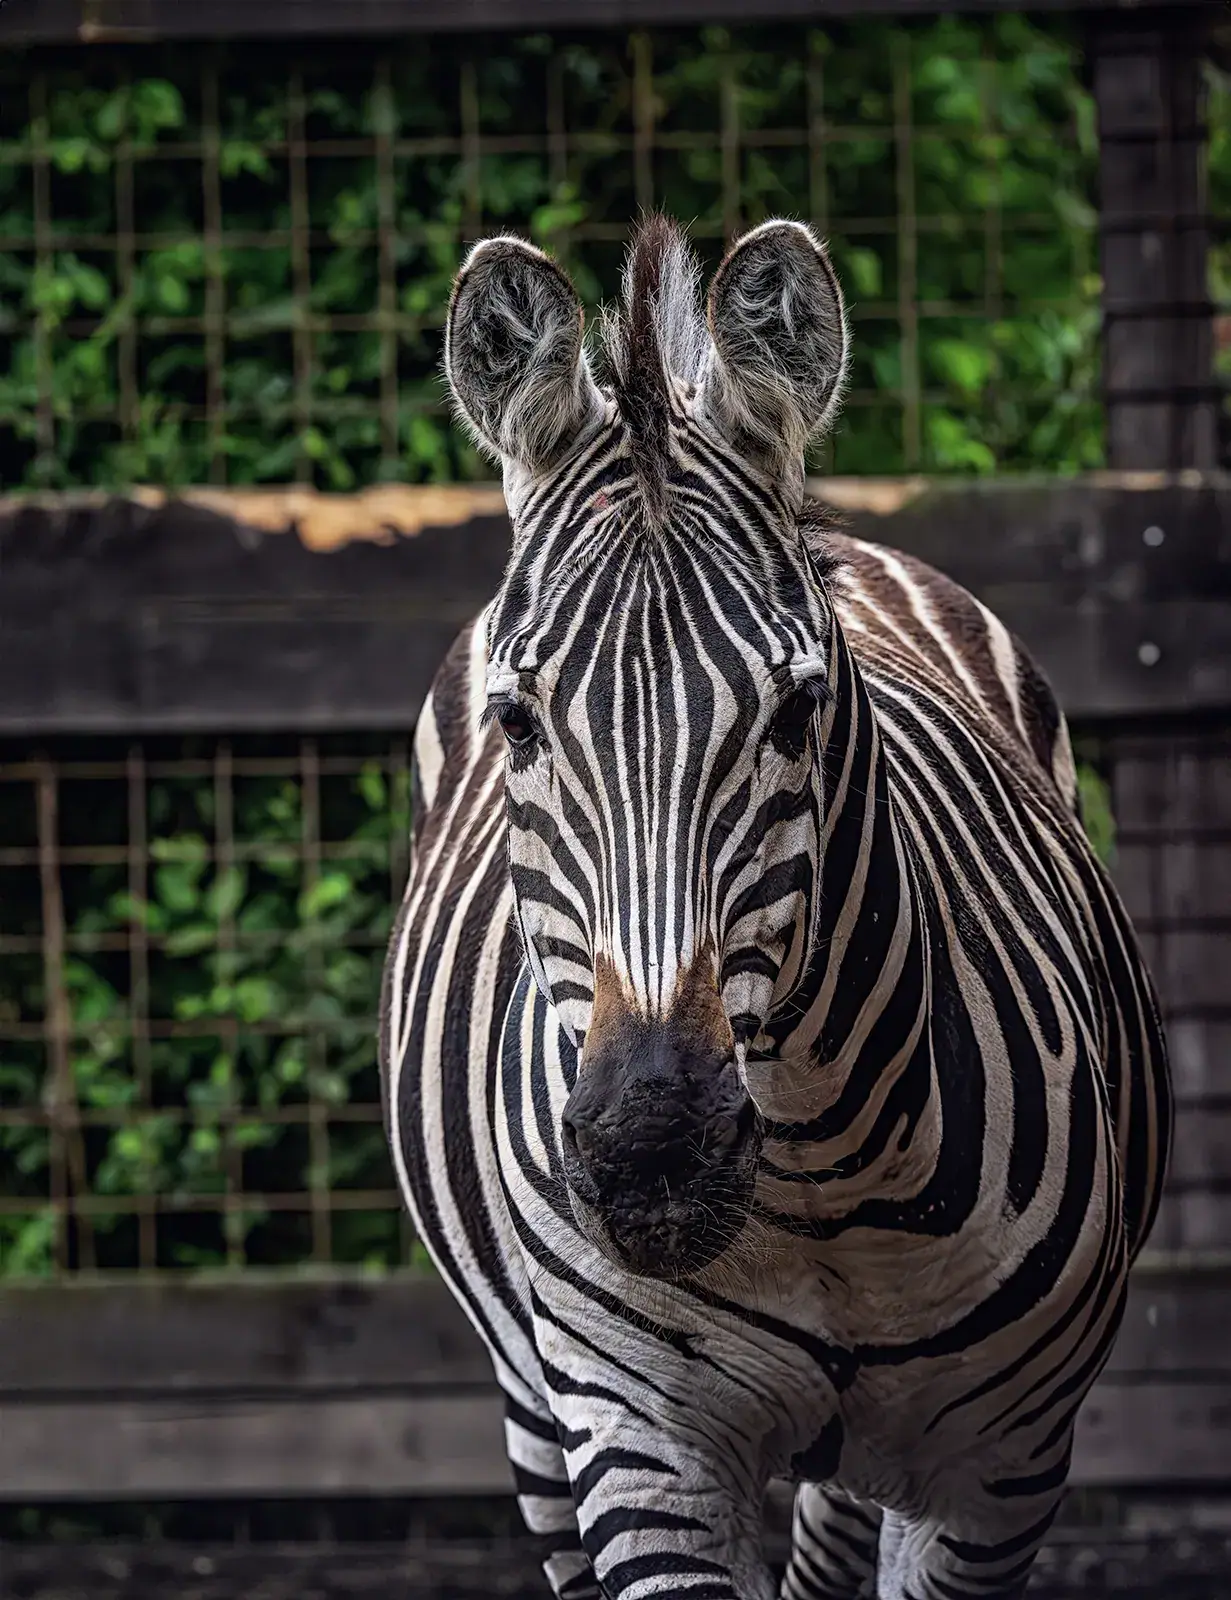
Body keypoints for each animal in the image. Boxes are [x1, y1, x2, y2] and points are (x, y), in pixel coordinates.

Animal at [381, 214, 1170, 1600]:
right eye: (519, 722)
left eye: (799, 709)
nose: (653, 1149)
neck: (820, 1188)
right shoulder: (641, 1446)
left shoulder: (1002, 1471)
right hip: (533, 1414)